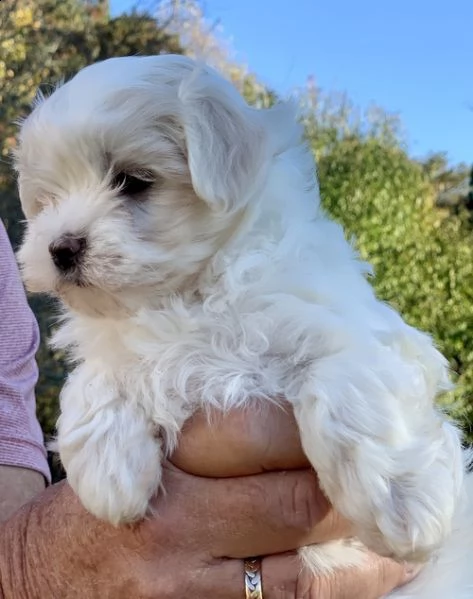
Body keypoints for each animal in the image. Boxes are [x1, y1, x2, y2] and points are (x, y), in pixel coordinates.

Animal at [14, 55, 472, 596]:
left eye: (132, 180)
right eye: (47, 200)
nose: (60, 248)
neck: (184, 298)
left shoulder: (356, 330)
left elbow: (350, 386)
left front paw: (404, 505)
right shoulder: (118, 342)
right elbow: (95, 379)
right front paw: (109, 477)